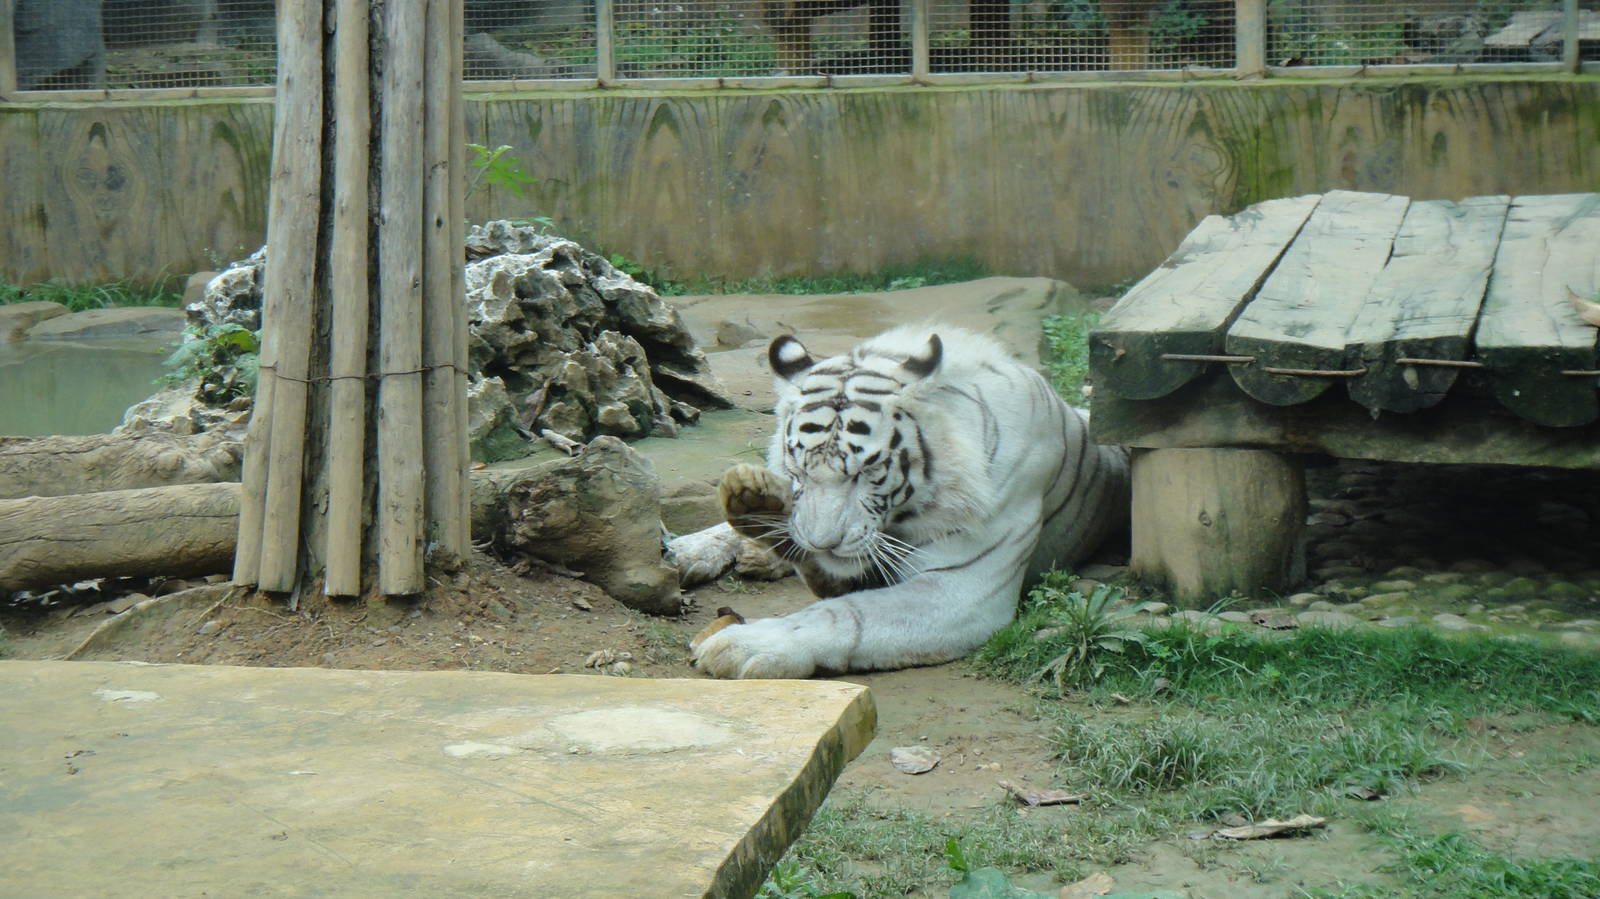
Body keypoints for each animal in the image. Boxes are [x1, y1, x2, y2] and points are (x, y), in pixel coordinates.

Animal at [681, 324, 1131, 679]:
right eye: (800, 470)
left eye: (867, 471)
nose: (823, 544)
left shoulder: (960, 586)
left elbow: (847, 612)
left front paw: (746, 644)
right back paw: (722, 523)